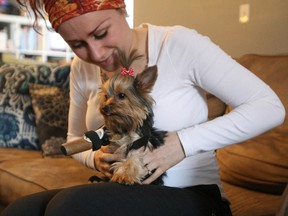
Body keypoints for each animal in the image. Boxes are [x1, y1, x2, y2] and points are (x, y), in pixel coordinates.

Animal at [95, 50, 165, 184]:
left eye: (122, 95)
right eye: (106, 96)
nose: (104, 108)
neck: (125, 127)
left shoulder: (140, 144)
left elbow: (134, 157)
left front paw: (125, 174)